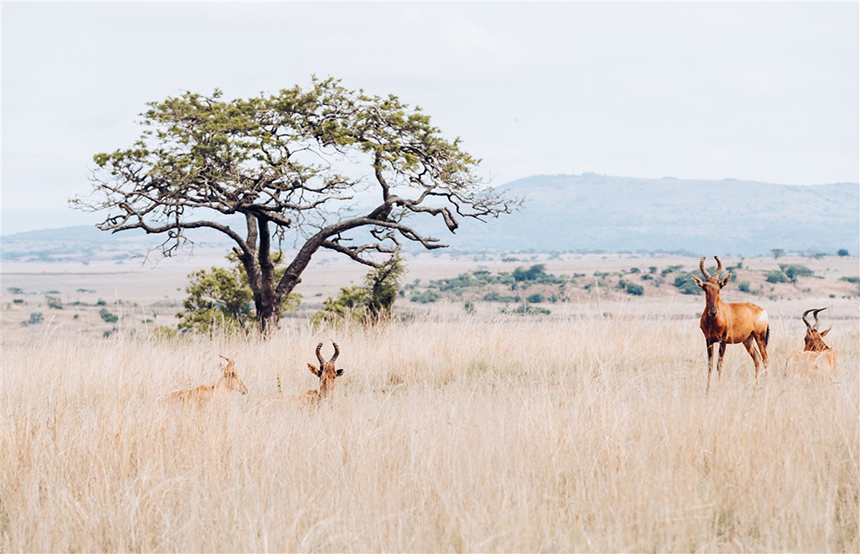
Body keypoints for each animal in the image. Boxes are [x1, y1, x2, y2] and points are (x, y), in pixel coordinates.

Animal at [692, 254, 772, 388]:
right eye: (705, 289)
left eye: (719, 288)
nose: (713, 312)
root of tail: (762, 311)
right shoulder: (708, 340)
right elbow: (710, 365)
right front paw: (707, 388)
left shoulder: (723, 340)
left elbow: (719, 365)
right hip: (748, 340)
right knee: (757, 358)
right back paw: (756, 384)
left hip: (760, 336)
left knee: (765, 358)